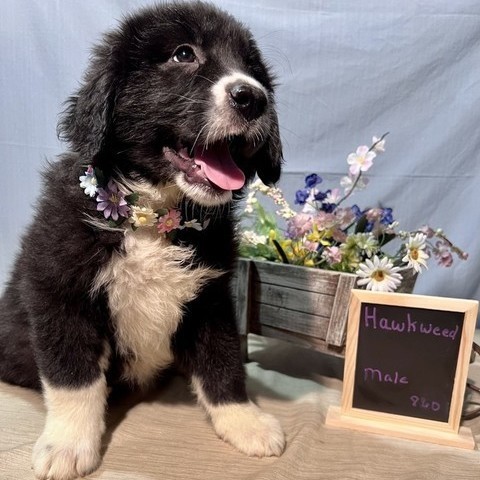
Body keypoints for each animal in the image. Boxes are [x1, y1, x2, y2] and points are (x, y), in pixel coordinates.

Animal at [0, 1, 284, 478]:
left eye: (252, 68)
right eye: (183, 54)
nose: (254, 97)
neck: (153, 219)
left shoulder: (210, 298)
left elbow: (223, 362)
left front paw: (245, 421)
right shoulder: (58, 289)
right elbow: (73, 376)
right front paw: (67, 444)